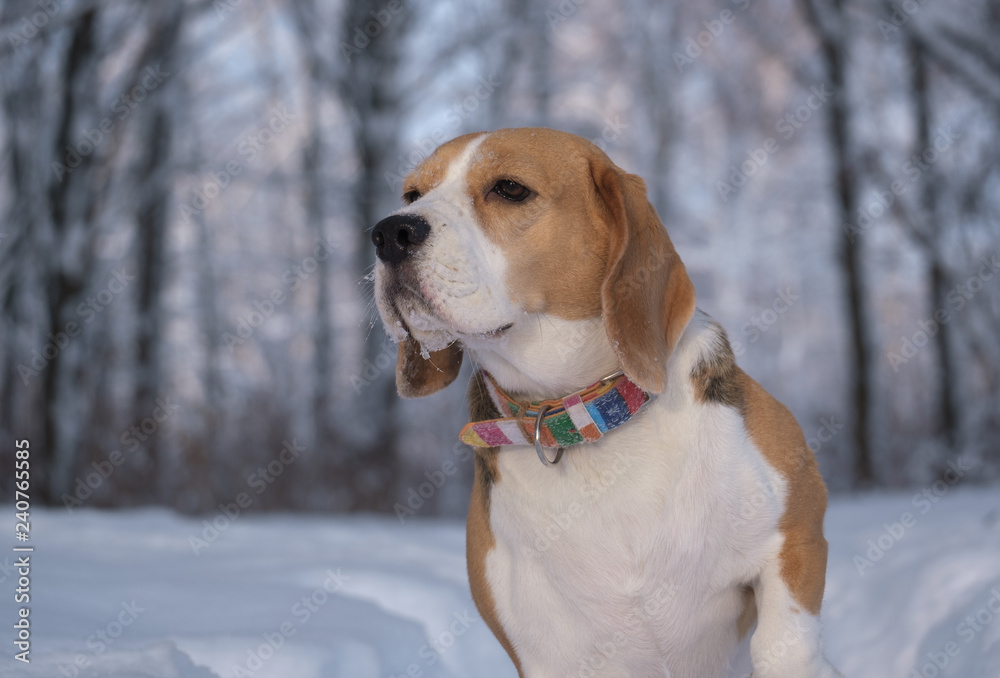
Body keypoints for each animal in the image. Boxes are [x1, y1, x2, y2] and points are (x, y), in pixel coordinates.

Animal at [372, 129, 840, 678]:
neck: (581, 418)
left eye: (510, 188)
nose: (388, 233)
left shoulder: (796, 533)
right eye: (411, 194)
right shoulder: (544, 650)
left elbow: (782, 643)